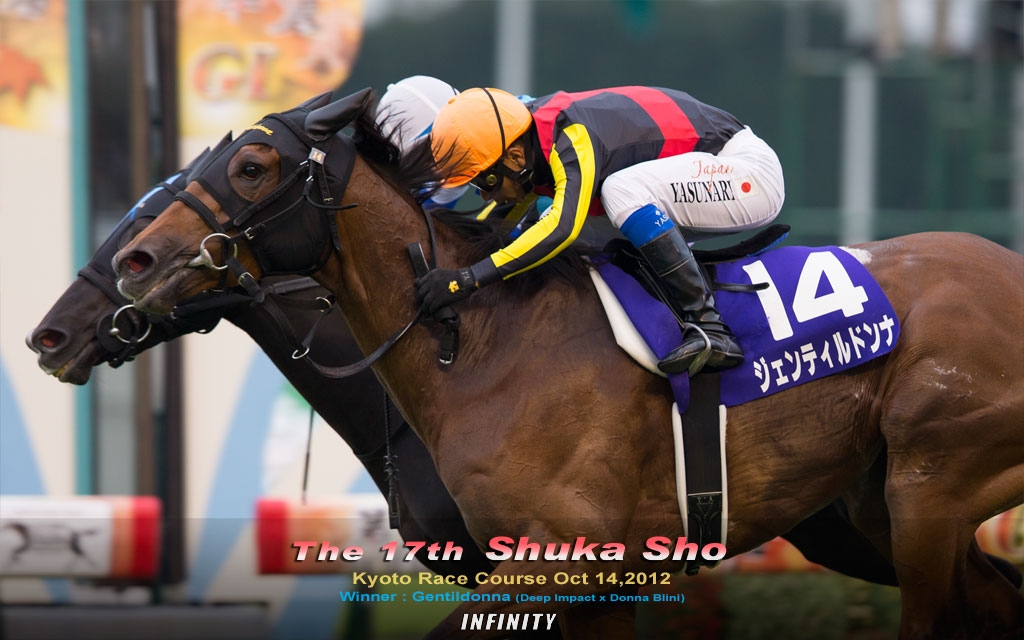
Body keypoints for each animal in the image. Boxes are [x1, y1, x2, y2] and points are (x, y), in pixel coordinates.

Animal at [110, 90, 1024, 639]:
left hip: (928, 489)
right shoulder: (605, 580)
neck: (485, 346)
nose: (135, 260)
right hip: (878, 506)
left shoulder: (561, 558)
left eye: (251, 167)